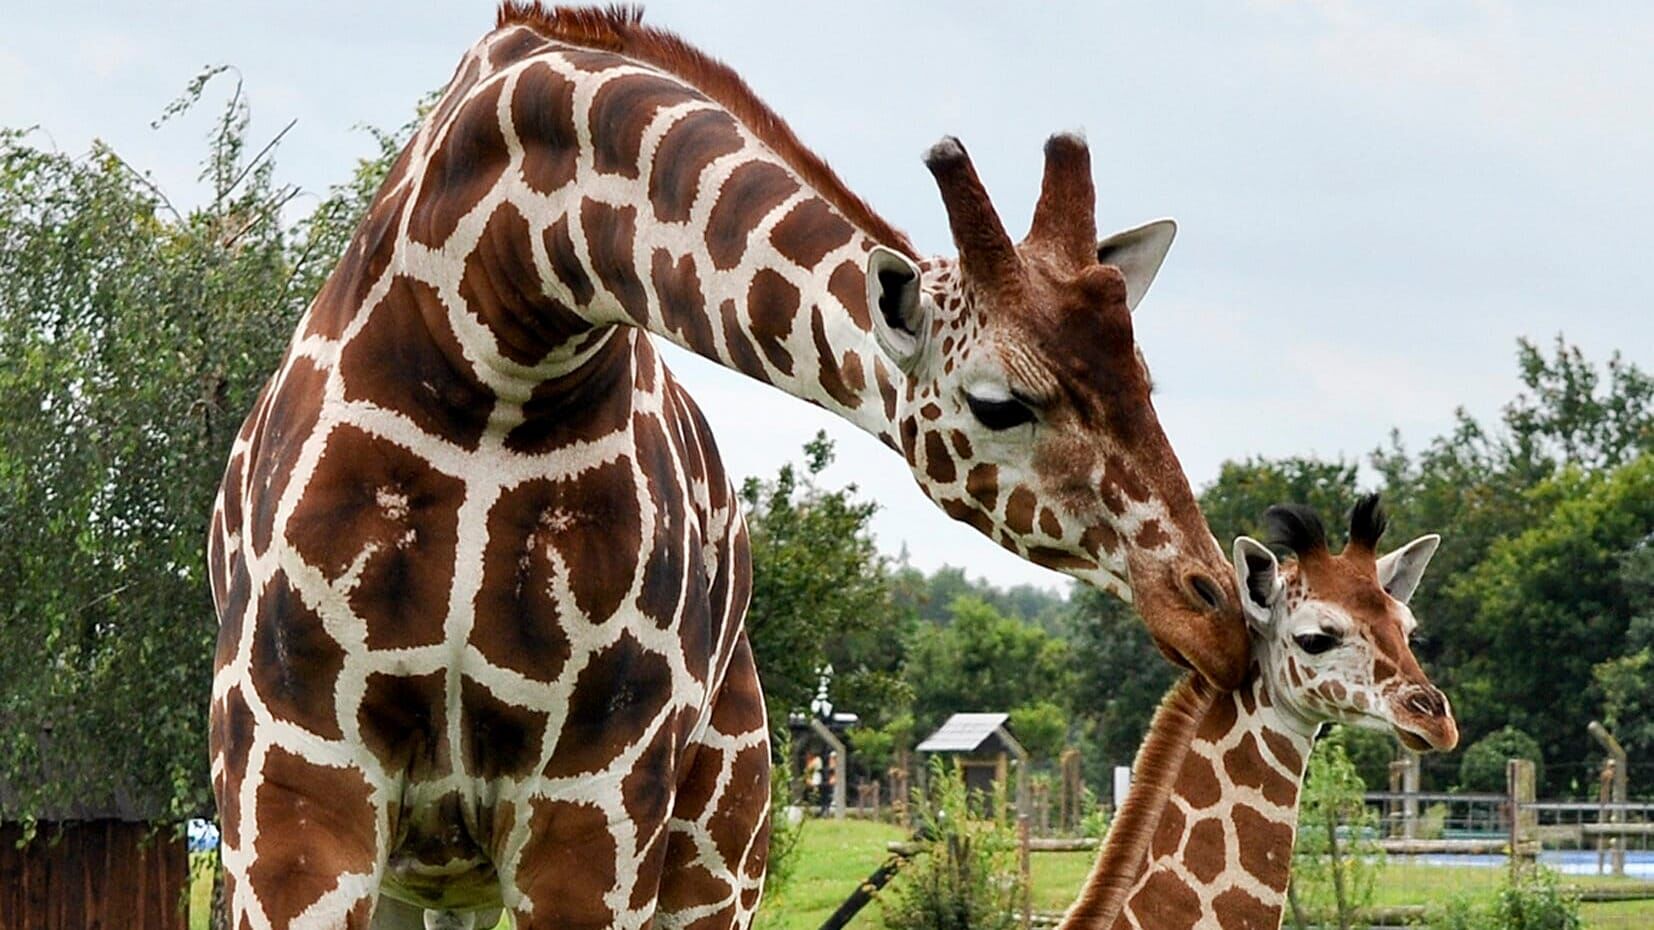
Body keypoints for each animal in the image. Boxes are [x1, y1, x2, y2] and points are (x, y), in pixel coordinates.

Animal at [203, 3, 1243, 920]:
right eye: (999, 403)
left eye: (1144, 378)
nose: (1218, 614)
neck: (495, 337)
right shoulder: (294, 781)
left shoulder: (599, 797)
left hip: (722, 841)